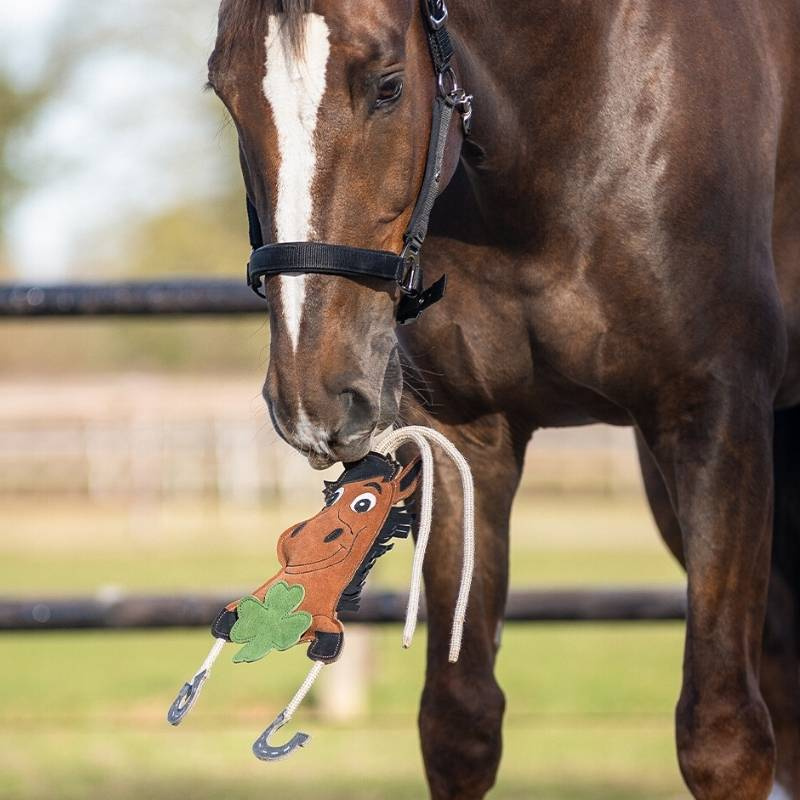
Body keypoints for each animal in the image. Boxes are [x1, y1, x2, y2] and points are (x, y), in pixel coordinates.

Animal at [207, 1, 800, 798]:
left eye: (388, 85)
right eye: (225, 92)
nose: (314, 400)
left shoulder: (714, 418)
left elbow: (723, 737)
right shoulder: (468, 439)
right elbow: (460, 721)